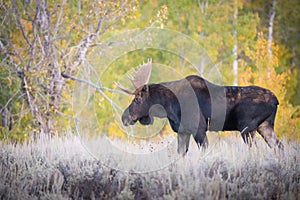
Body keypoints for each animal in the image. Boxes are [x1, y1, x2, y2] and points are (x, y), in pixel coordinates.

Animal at [117, 58, 284, 155]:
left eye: (137, 99)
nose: (124, 117)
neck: (169, 106)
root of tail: (276, 100)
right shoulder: (183, 131)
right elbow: (181, 154)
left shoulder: (199, 128)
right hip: (265, 126)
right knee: (279, 146)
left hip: (247, 127)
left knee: (257, 150)